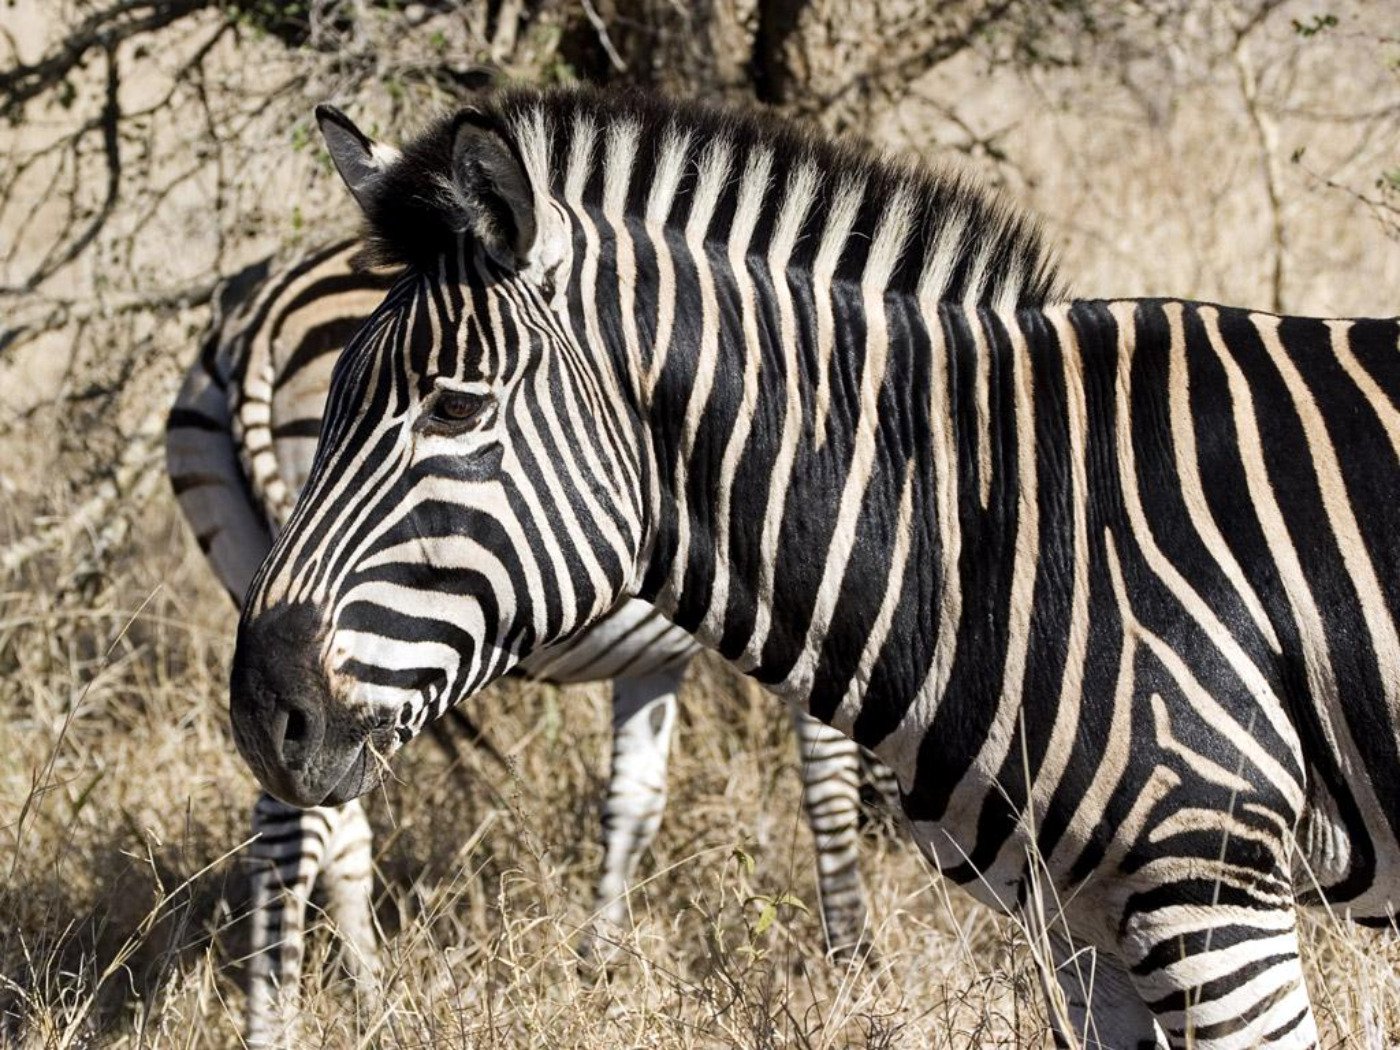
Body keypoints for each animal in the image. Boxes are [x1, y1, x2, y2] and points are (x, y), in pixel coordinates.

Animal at [165, 237, 897, 1044]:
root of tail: (255, 322)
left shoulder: (657, 659)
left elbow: (634, 801)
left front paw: (600, 963)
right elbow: (827, 784)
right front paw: (852, 958)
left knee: (331, 820)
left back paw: (374, 1002)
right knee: (293, 827)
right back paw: (280, 1024)